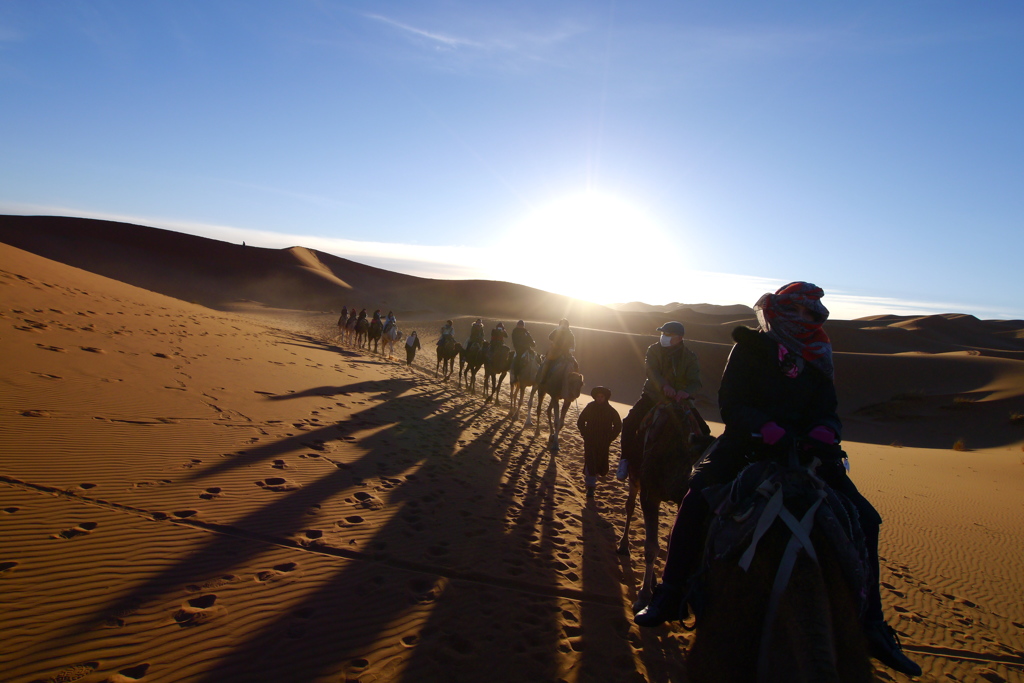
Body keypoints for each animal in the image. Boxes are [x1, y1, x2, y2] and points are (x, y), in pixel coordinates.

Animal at [614, 401, 704, 610]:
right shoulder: (650, 493)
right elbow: (651, 547)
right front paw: (644, 597)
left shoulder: (681, 498)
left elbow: (671, 541)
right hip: (635, 474)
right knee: (630, 506)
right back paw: (623, 546)